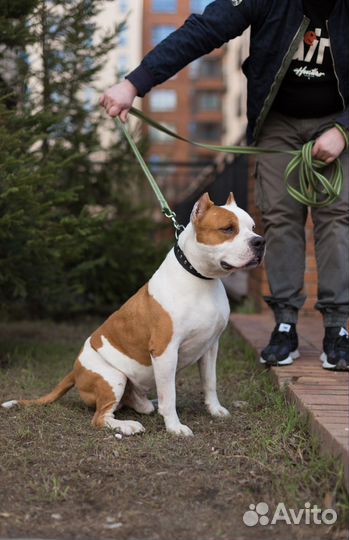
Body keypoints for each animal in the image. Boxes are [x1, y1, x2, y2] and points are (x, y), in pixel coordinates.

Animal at [2, 192, 264, 436]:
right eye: (227, 229)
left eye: (252, 227)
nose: (259, 242)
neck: (201, 279)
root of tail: (75, 371)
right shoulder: (165, 351)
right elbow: (170, 396)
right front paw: (174, 427)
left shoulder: (210, 346)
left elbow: (210, 382)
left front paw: (215, 410)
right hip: (113, 377)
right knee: (101, 417)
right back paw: (127, 426)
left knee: (138, 402)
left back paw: (149, 405)